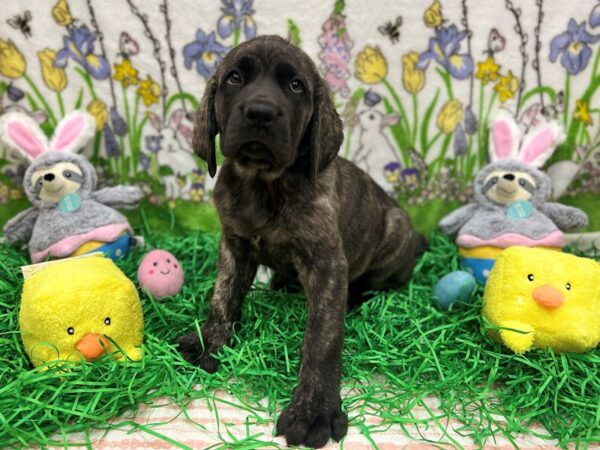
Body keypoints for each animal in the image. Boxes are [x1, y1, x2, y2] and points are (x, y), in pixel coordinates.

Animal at [178, 36, 426, 450]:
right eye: (234, 78)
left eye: (296, 86)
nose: (260, 113)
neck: (263, 183)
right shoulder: (234, 245)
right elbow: (222, 297)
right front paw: (210, 342)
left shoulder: (326, 265)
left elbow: (322, 339)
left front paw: (313, 410)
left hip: (393, 230)